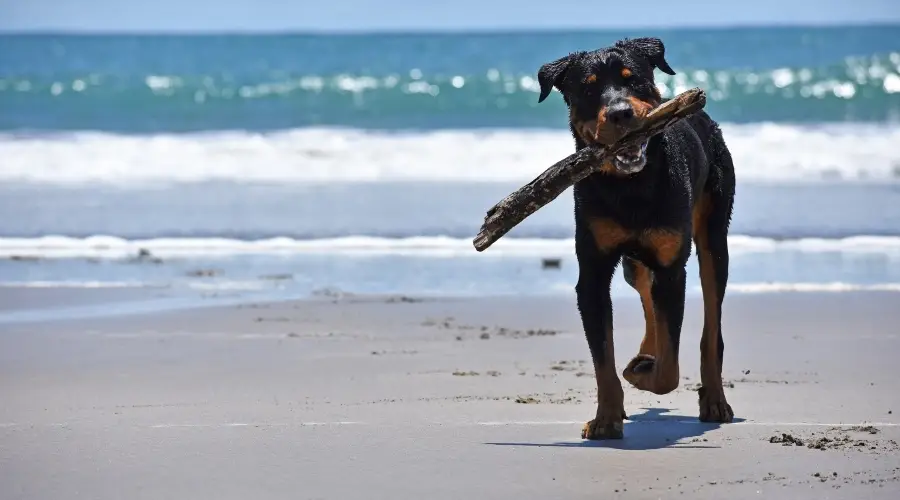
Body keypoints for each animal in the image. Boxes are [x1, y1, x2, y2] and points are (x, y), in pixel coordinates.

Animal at [536, 37, 740, 440]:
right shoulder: (593, 270)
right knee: (644, 287)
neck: (630, 187)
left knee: (711, 322)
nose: (619, 113)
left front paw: (642, 372)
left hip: (714, 231)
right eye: (589, 88)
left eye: (633, 79)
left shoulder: (672, 268)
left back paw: (714, 400)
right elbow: (603, 356)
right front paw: (605, 418)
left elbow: (669, 369)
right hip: (635, 259)